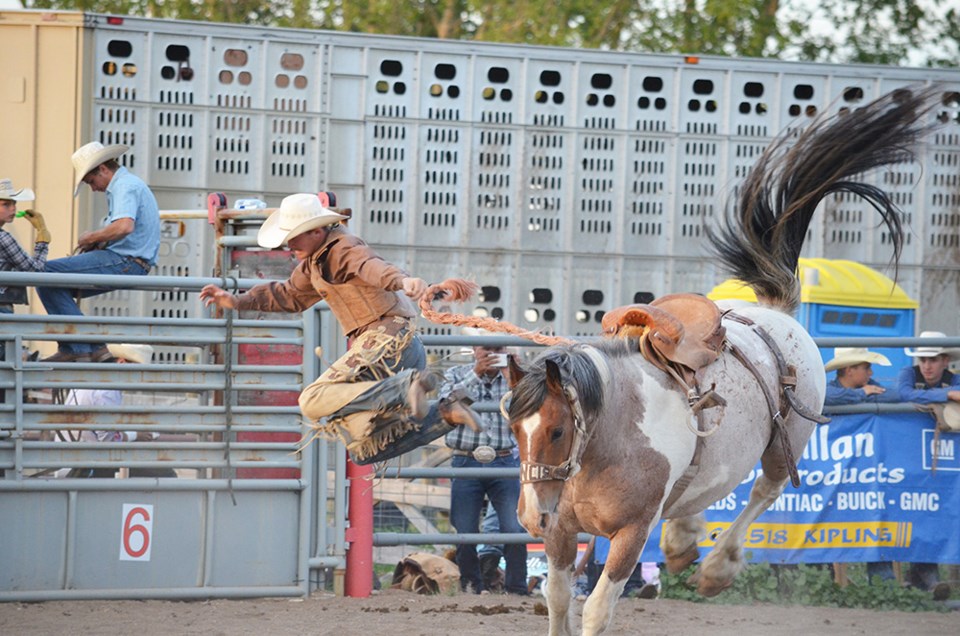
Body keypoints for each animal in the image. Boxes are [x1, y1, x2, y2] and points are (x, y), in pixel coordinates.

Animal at [506, 85, 940, 636]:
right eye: (513, 429)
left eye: (558, 429)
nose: (528, 516)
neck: (613, 436)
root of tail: (778, 311)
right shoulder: (562, 530)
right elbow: (559, 599)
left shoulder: (630, 533)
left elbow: (598, 608)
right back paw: (682, 541)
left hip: (786, 443)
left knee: (763, 495)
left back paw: (716, 567)